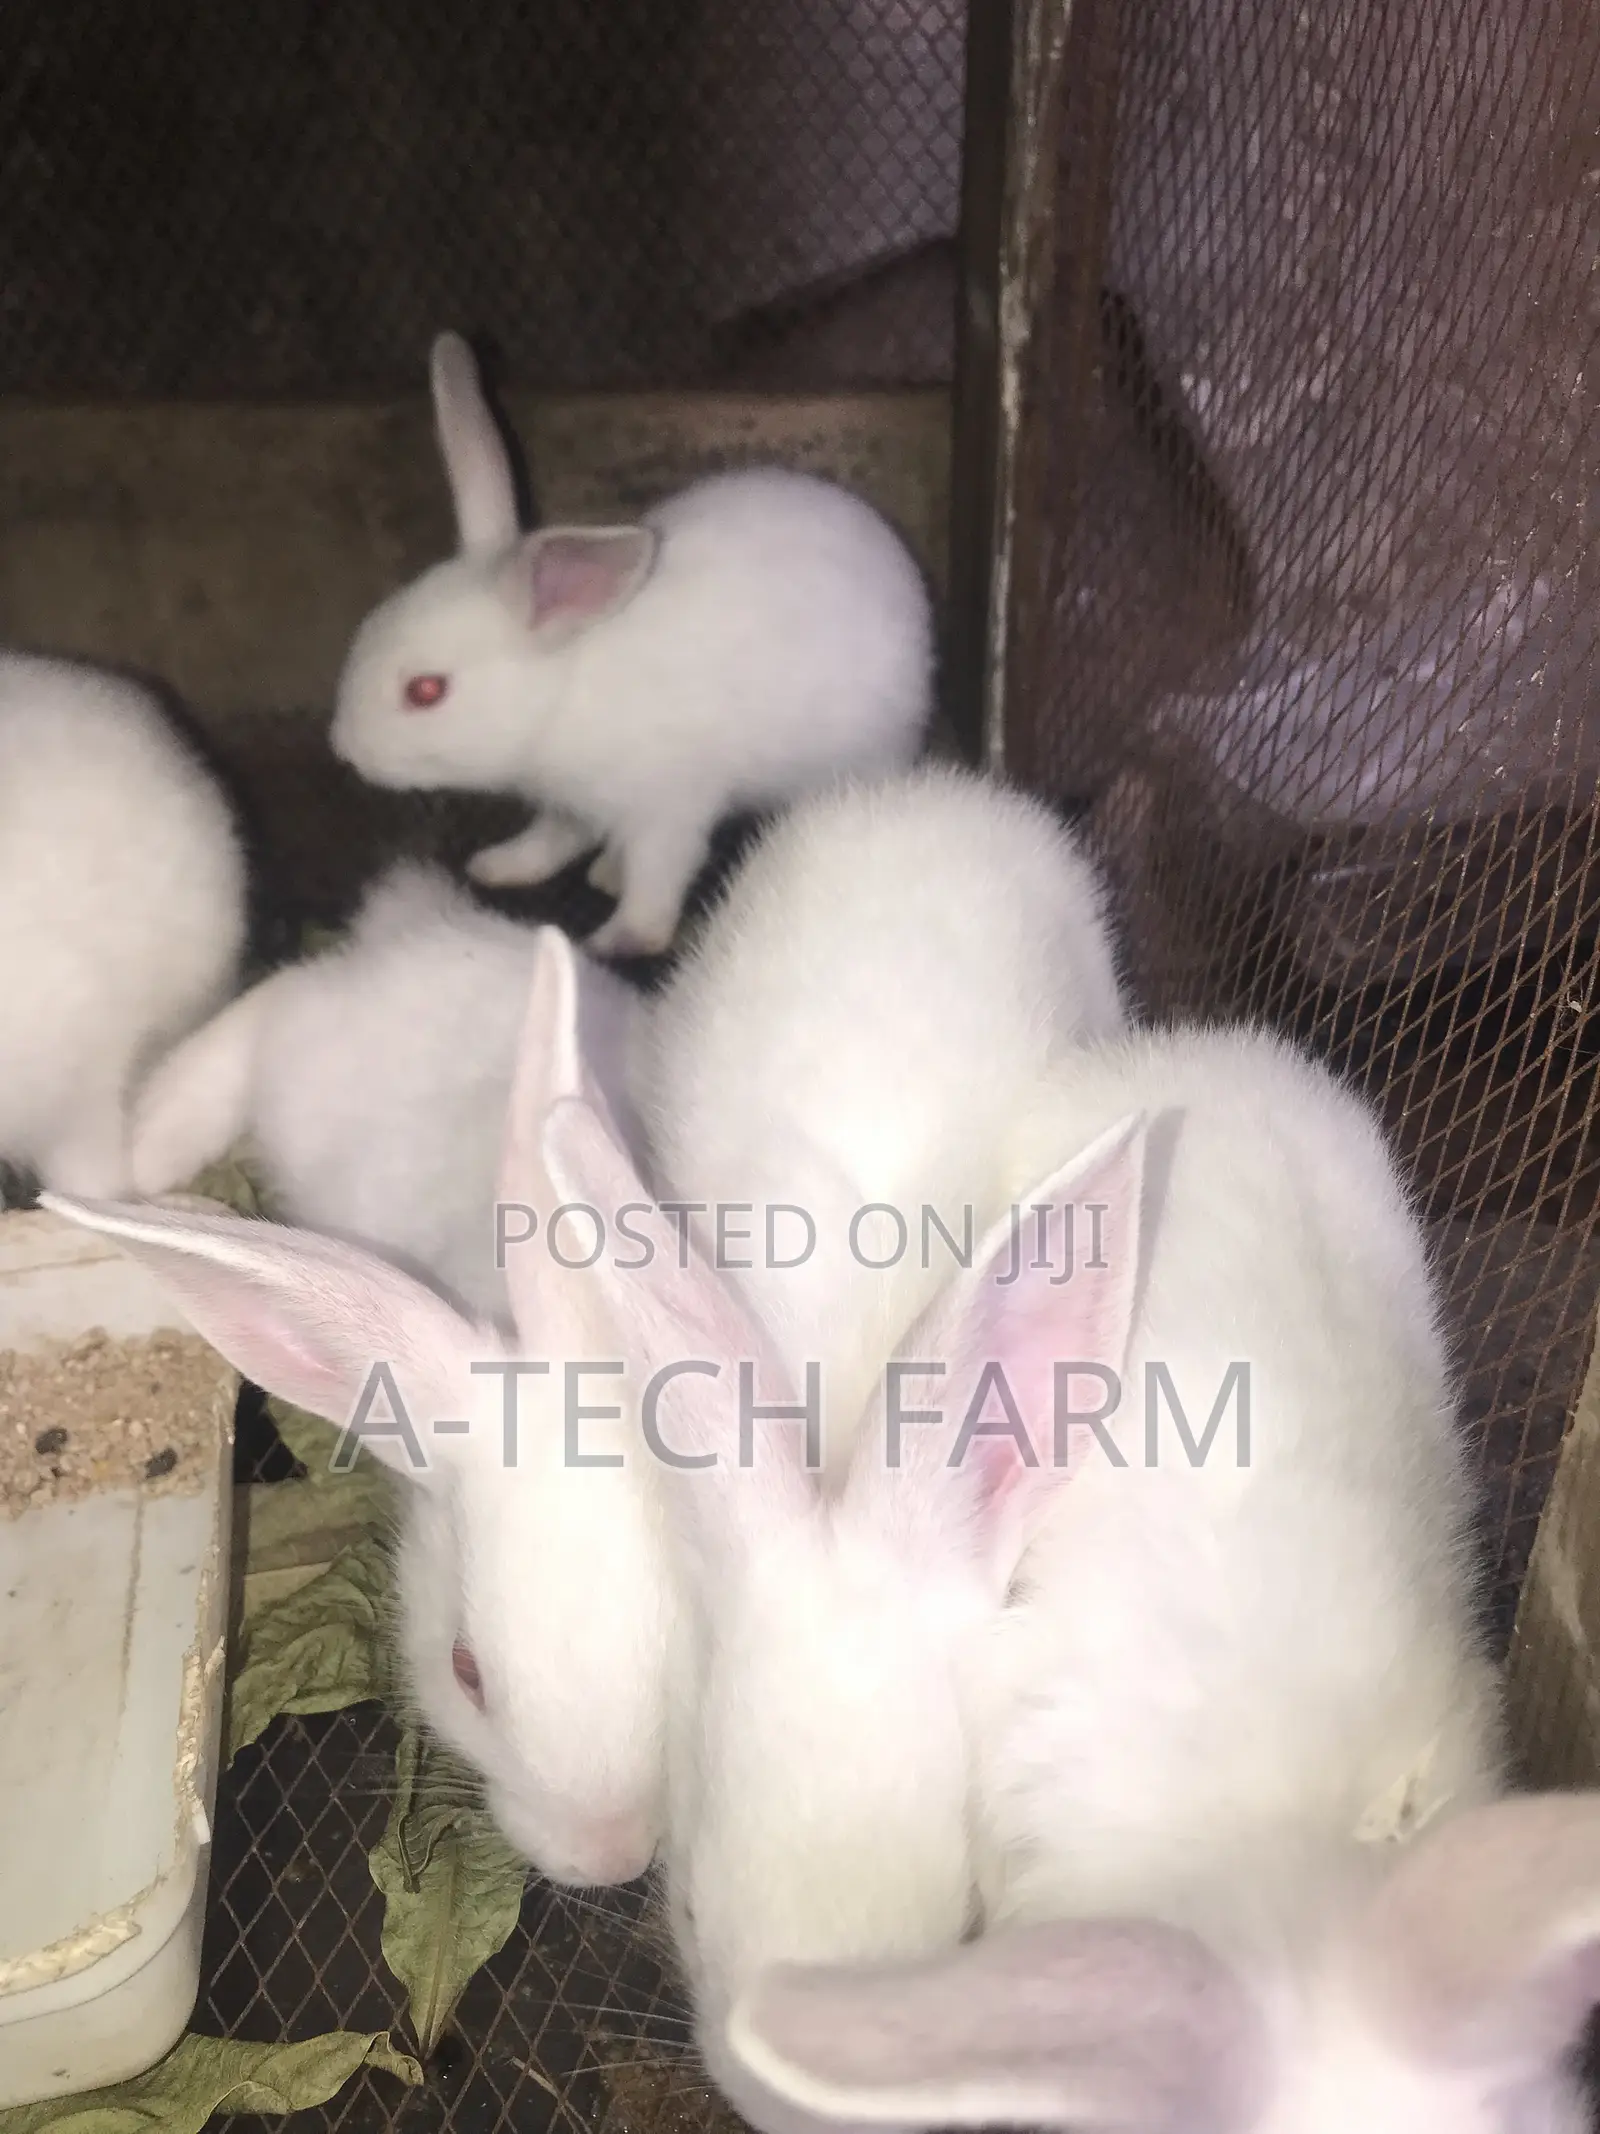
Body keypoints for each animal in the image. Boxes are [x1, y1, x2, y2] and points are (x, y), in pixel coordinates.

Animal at [330, 331, 935, 960]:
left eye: (426, 691)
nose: (343, 748)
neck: (562, 696)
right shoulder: (568, 803)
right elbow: (552, 839)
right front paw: (501, 866)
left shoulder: (667, 808)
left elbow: (657, 880)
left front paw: (617, 939)